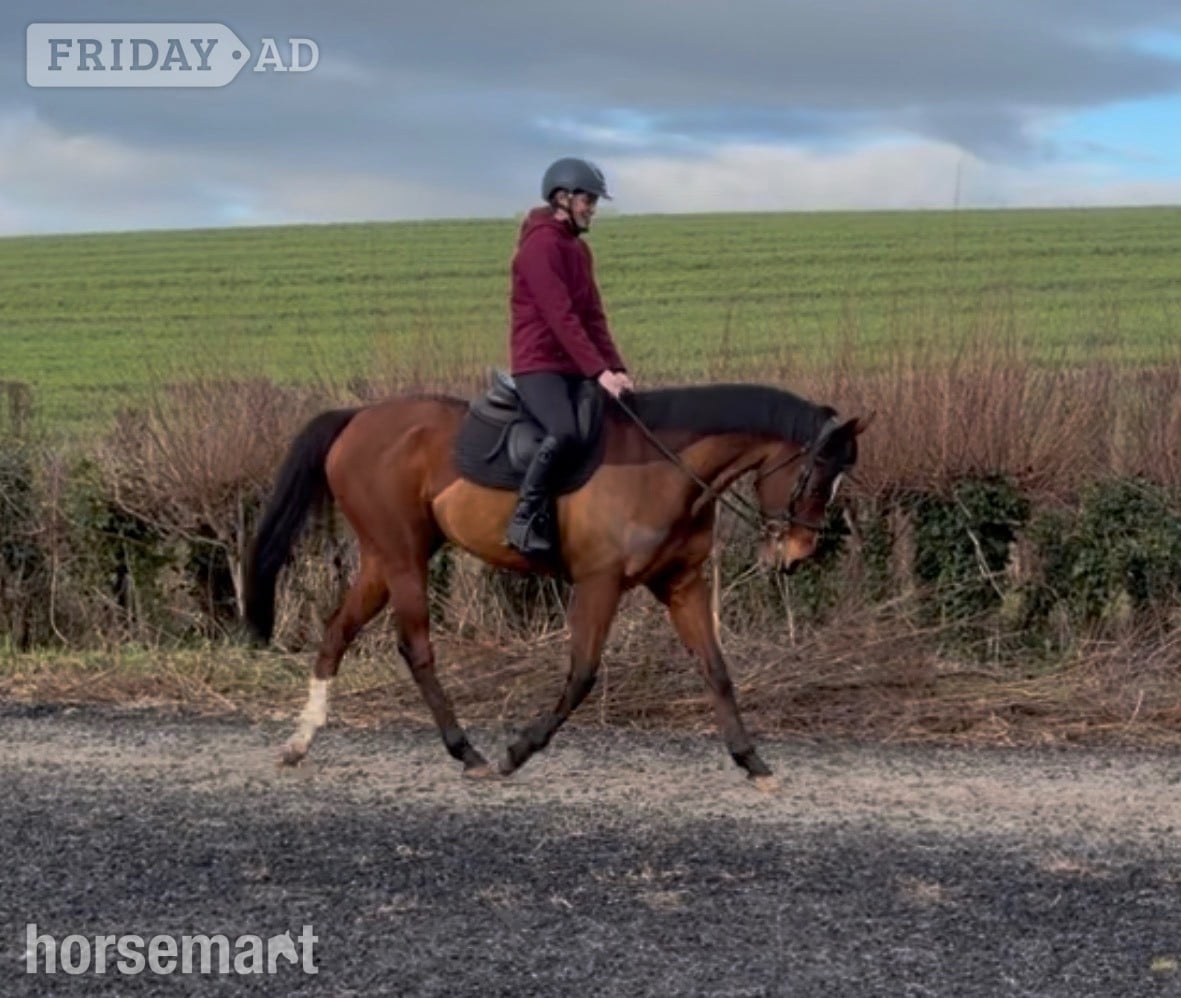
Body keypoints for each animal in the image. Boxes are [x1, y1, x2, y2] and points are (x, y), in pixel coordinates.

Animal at [245, 380, 867, 787]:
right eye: (816, 477)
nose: (796, 555)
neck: (666, 468)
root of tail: (357, 418)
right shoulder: (598, 584)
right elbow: (583, 674)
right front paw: (518, 752)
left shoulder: (682, 585)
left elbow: (716, 671)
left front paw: (752, 761)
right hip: (402, 558)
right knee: (415, 647)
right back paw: (467, 753)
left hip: (383, 557)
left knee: (337, 632)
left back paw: (300, 742)